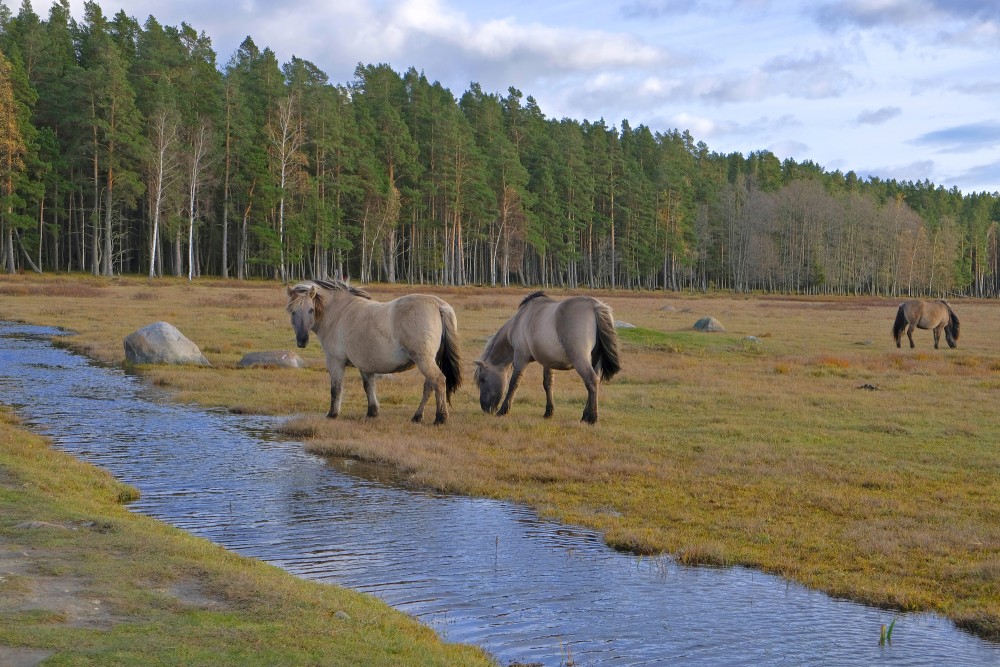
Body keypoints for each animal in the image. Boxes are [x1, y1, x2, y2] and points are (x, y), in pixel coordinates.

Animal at [288, 280, 462, 426]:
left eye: (311, 310)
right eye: (292, 312)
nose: (302, 340)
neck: (339, 313)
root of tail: (438, 304)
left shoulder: (335, 361)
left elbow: (336, 388)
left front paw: (332, 414)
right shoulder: (365, 365)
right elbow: (368, 386)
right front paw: (372, 412)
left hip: (424, 360)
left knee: (438, 381)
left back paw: (440, 418)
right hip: (428, 360)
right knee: (429, 386)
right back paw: (417, 417)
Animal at [472, 290, 620, 426]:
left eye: (482, 379)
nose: (485, 408)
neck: (519, 321)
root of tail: (595, 305)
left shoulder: (520, 357)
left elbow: (514, 383)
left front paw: (503, 410)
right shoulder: (547, 361)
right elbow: (548, 384)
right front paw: (549, 412)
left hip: (580, 359)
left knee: (591, 380)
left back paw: (592, 418)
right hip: (595, 360)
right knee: (595, 383)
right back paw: (585, 416)